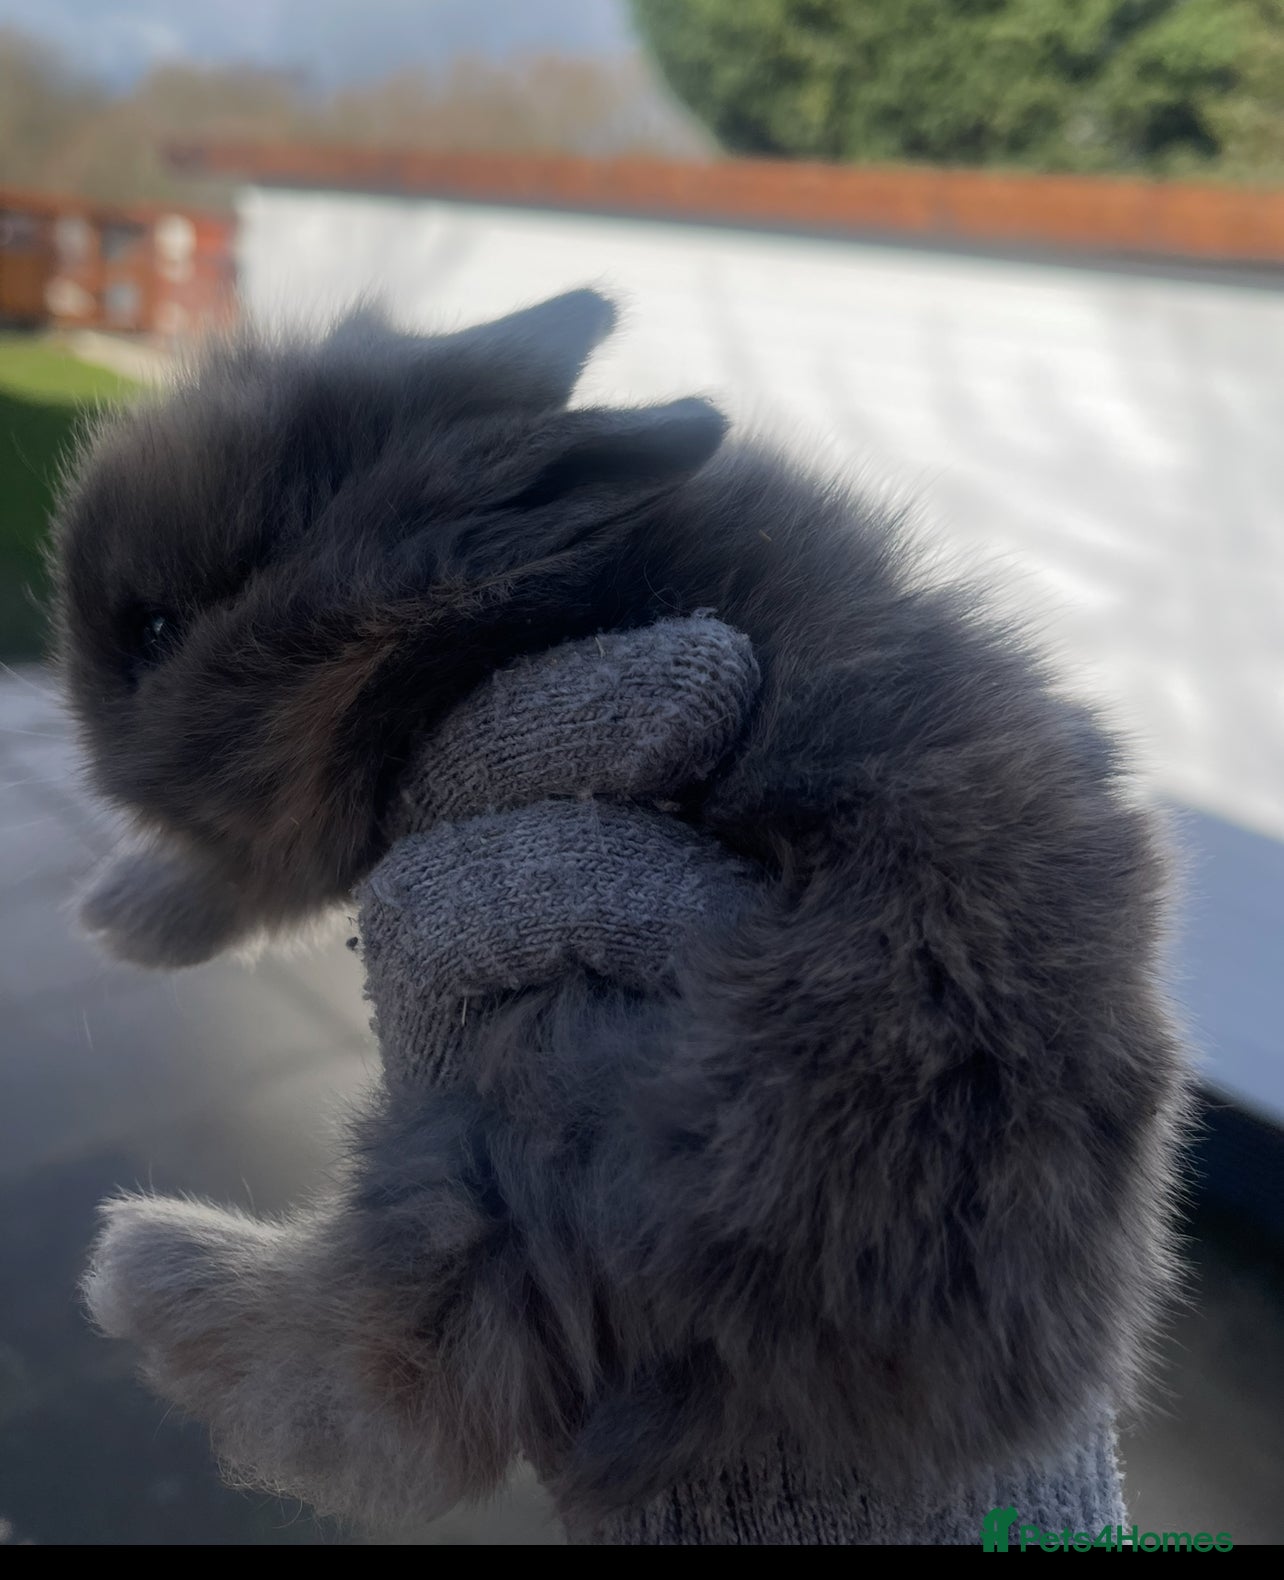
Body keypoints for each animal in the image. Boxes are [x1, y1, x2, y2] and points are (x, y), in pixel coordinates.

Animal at [53, 289, 1189, 1525]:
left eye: (155, 629)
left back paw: (145, 1269)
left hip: (546, 1097)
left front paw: (123, 912)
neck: (483, 614)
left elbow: (247, 875)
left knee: (398, 1377)